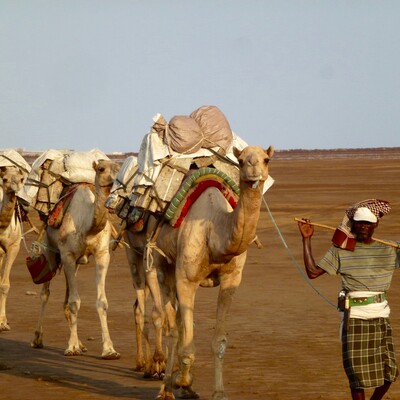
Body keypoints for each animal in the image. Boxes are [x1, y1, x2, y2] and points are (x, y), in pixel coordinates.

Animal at [31, 159, 121, 360]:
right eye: (101, 168)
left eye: (120, 168)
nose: (116, 183)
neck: (88, 226)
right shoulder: (67, 255)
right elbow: (74, 302)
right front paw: (71, 348)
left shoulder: (103, 254)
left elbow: (101, 302)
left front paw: (109, 350)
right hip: (50, 250)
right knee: (45, 292)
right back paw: (37, 339)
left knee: (66, 297)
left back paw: (81, 343)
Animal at [148, 145, 274, 400]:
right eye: (241, 160)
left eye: (266, 159)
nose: (254, 171)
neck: (215, 229)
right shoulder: (186, 279)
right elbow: (186, 342)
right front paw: (182, 381)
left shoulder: (231, 280)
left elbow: (219, 342)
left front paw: (218, 392)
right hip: (163, 265)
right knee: (172, 328)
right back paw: (167, 389)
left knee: (177, 323)